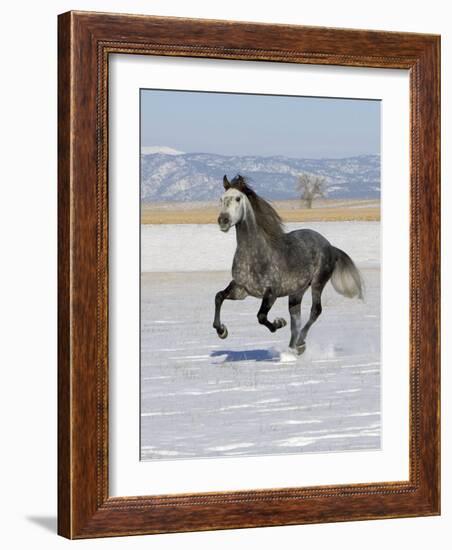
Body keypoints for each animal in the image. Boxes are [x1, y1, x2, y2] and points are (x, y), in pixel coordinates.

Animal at [212, 177, 364, 358]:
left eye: (237, 198)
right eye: (221, 199)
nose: (223, 221)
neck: (255, 256)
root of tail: (329, 246)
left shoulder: (271, 293)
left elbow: (261, 316)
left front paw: (278, 323)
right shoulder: (241, 290)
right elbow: (219, 297)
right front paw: (222, 331)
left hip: (317, 283)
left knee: (315, 311)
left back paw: (300, 343)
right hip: (297, 292)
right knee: (296, 320)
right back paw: (292, 350)